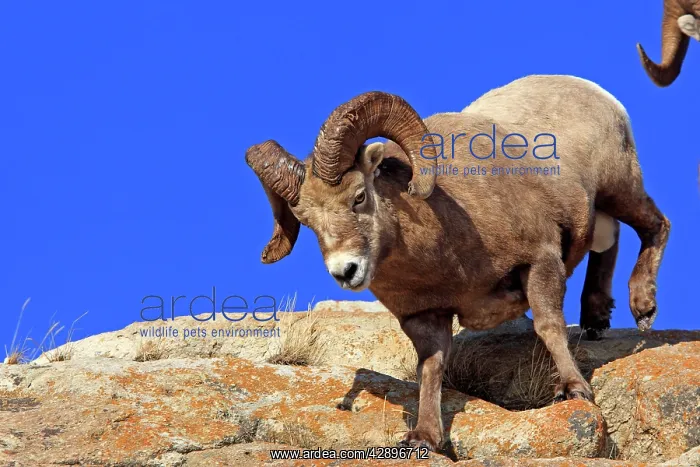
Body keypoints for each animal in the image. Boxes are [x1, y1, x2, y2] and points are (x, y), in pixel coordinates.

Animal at [245, 75, 670, 451]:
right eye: (306, 222)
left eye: (359, 196)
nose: (345, 271)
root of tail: (596, 92)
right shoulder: (424, 316)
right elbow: (431, 369)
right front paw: (425, 437)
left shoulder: (540, 262)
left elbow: (549, 327)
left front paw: (573, 390)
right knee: (610, 241)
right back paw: (597, 318)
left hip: (620, 188)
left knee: (655, 225)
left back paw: (643, 308)